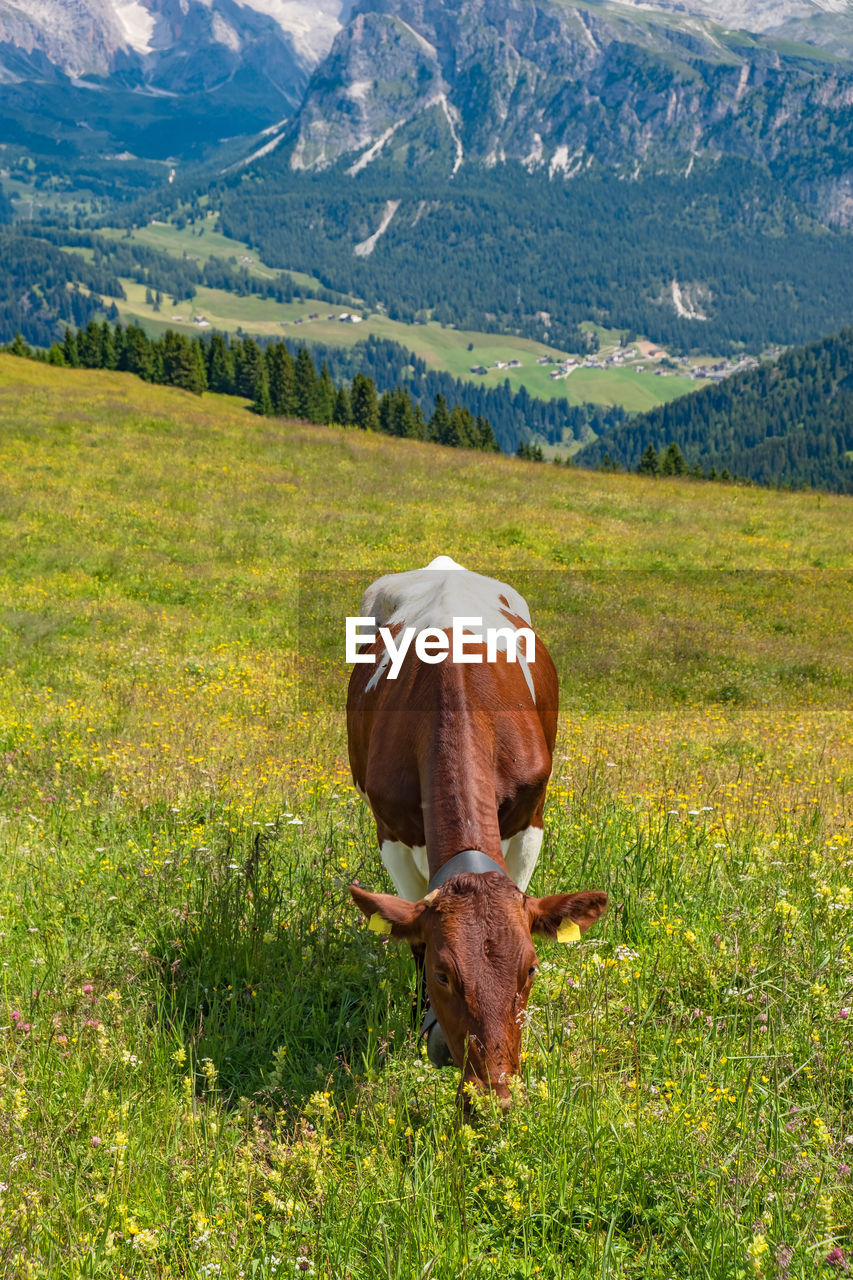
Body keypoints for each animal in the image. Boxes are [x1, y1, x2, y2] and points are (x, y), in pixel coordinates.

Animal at [345, 560, 604, 1111]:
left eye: (531, 969)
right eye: (444, 974)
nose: (495, 1098)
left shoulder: (530, 818)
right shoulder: (391, 831)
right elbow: (413, 937)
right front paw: (423, 1026)